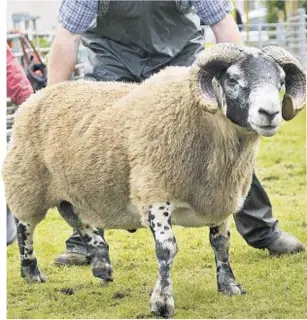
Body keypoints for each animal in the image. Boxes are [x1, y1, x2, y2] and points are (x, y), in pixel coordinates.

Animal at [2, 44, 306, 318]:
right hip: (26, 180)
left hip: (75, 188)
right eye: (232, 79)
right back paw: (31, 272)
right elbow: (167, 249)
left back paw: (102, 264)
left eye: (280, 81)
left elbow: (221, 245)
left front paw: (229, 286)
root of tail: (36, 96)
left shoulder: (220, 199)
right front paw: (162, 302)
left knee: (77, 217)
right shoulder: (155, 193)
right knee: (25, 227)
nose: (270, 113)